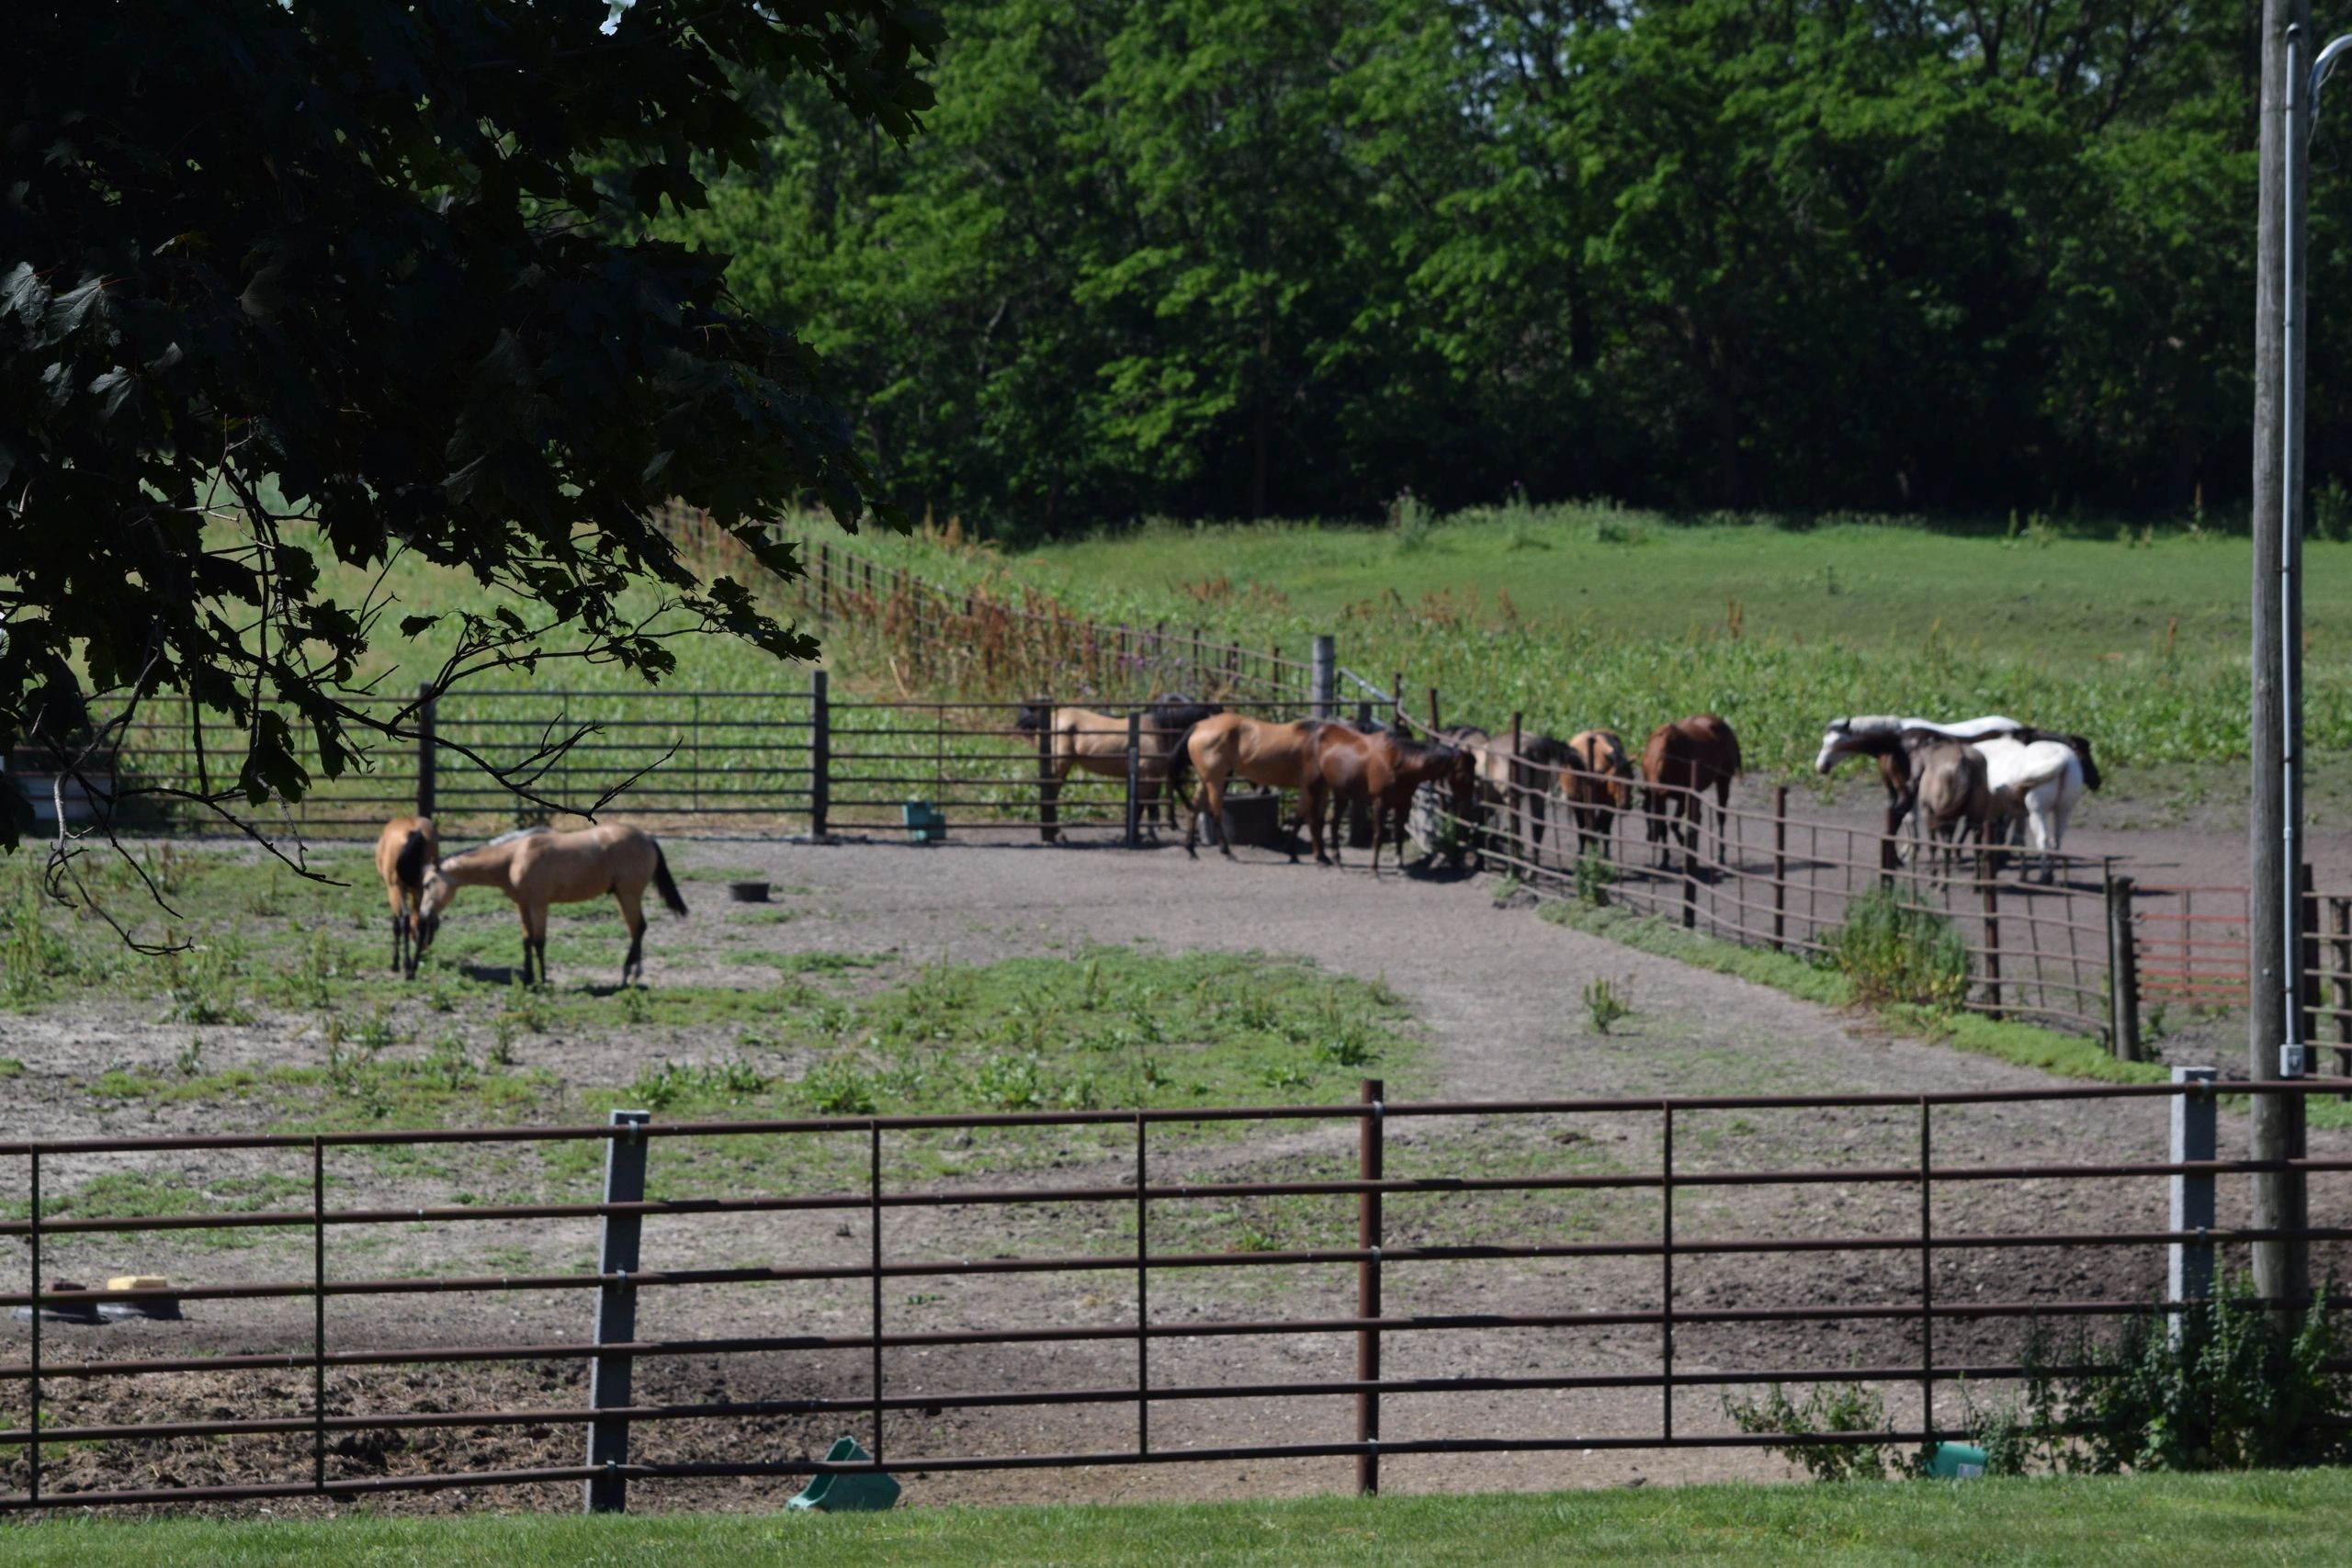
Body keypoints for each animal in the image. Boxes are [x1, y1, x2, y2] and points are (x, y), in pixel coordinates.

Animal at [374, 822, 439, 982]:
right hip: (421, 887)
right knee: (420, 921)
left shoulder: (394, 890)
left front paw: (395, 963)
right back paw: (413, 967)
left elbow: (396, 926)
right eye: (435, 928)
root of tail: (414, 832)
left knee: (405, 919)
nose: (426, 947)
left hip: (395, 888)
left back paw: (406, 966)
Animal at [418, 818, 686, 987]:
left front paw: (543, 978)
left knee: (638, 928)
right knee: (637, 929)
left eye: (428, 884)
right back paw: (630, 974)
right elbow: (526, 940)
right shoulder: (522, 905)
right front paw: (528, 978)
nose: (423, 915)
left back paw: (630, 974)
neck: (514, 857)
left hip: (628, 894)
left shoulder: (539, 904)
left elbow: (539, 941)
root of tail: (648, 839)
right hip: (624, 895)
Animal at [1561, 733, 1636, 860]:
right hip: (1576, 802)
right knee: (1582, 827)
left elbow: (1605, 830)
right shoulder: (1584, 805)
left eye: (1631, 778)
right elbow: (1586, 827)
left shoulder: (1609, 806)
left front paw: (1606, 856)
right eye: (1615, 780)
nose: (1625, 806)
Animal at [1646, 715, 1740, 864]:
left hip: (1723, 781)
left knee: (1720, 817)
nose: (1650, 838)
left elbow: (1673, 825)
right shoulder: (1663, 797)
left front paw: (1684, 844)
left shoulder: (1684, 797)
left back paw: (1720, 855)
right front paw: (1665, 859)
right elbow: (1668, 826)